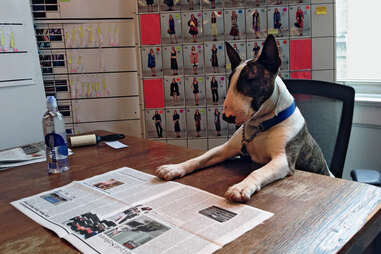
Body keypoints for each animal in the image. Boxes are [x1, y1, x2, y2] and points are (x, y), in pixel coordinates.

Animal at [154, 35, 330, 202]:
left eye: (250, 80)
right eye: (230, 80)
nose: (226, 117)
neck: (260, 126)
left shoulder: (283, 159)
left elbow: (257, 172)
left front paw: (240, 188)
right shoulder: (226, 148)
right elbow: (199, 158)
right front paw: (174, 168)